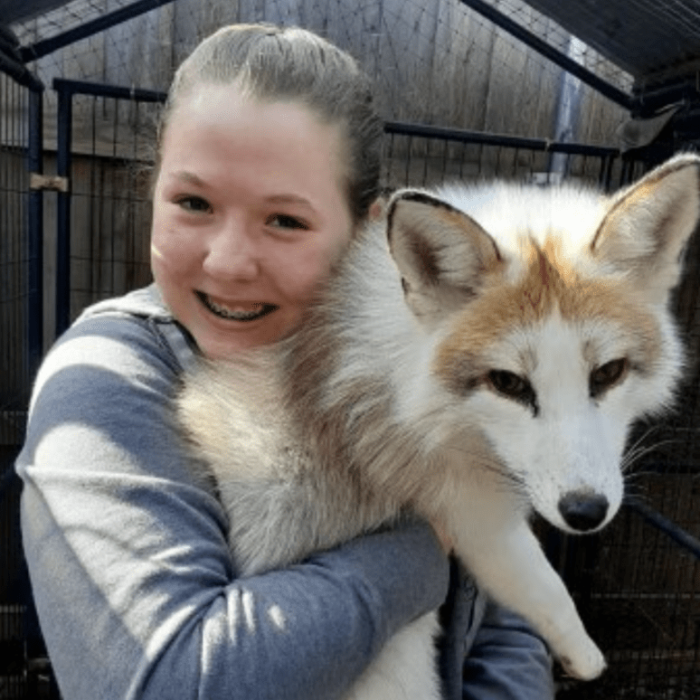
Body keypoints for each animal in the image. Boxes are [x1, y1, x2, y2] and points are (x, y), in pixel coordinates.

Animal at [178, 153, 696, 696]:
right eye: (507, 383)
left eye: (608, 373)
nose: (585, 512)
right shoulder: (469, 513)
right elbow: (546, 586)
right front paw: (587, 657)